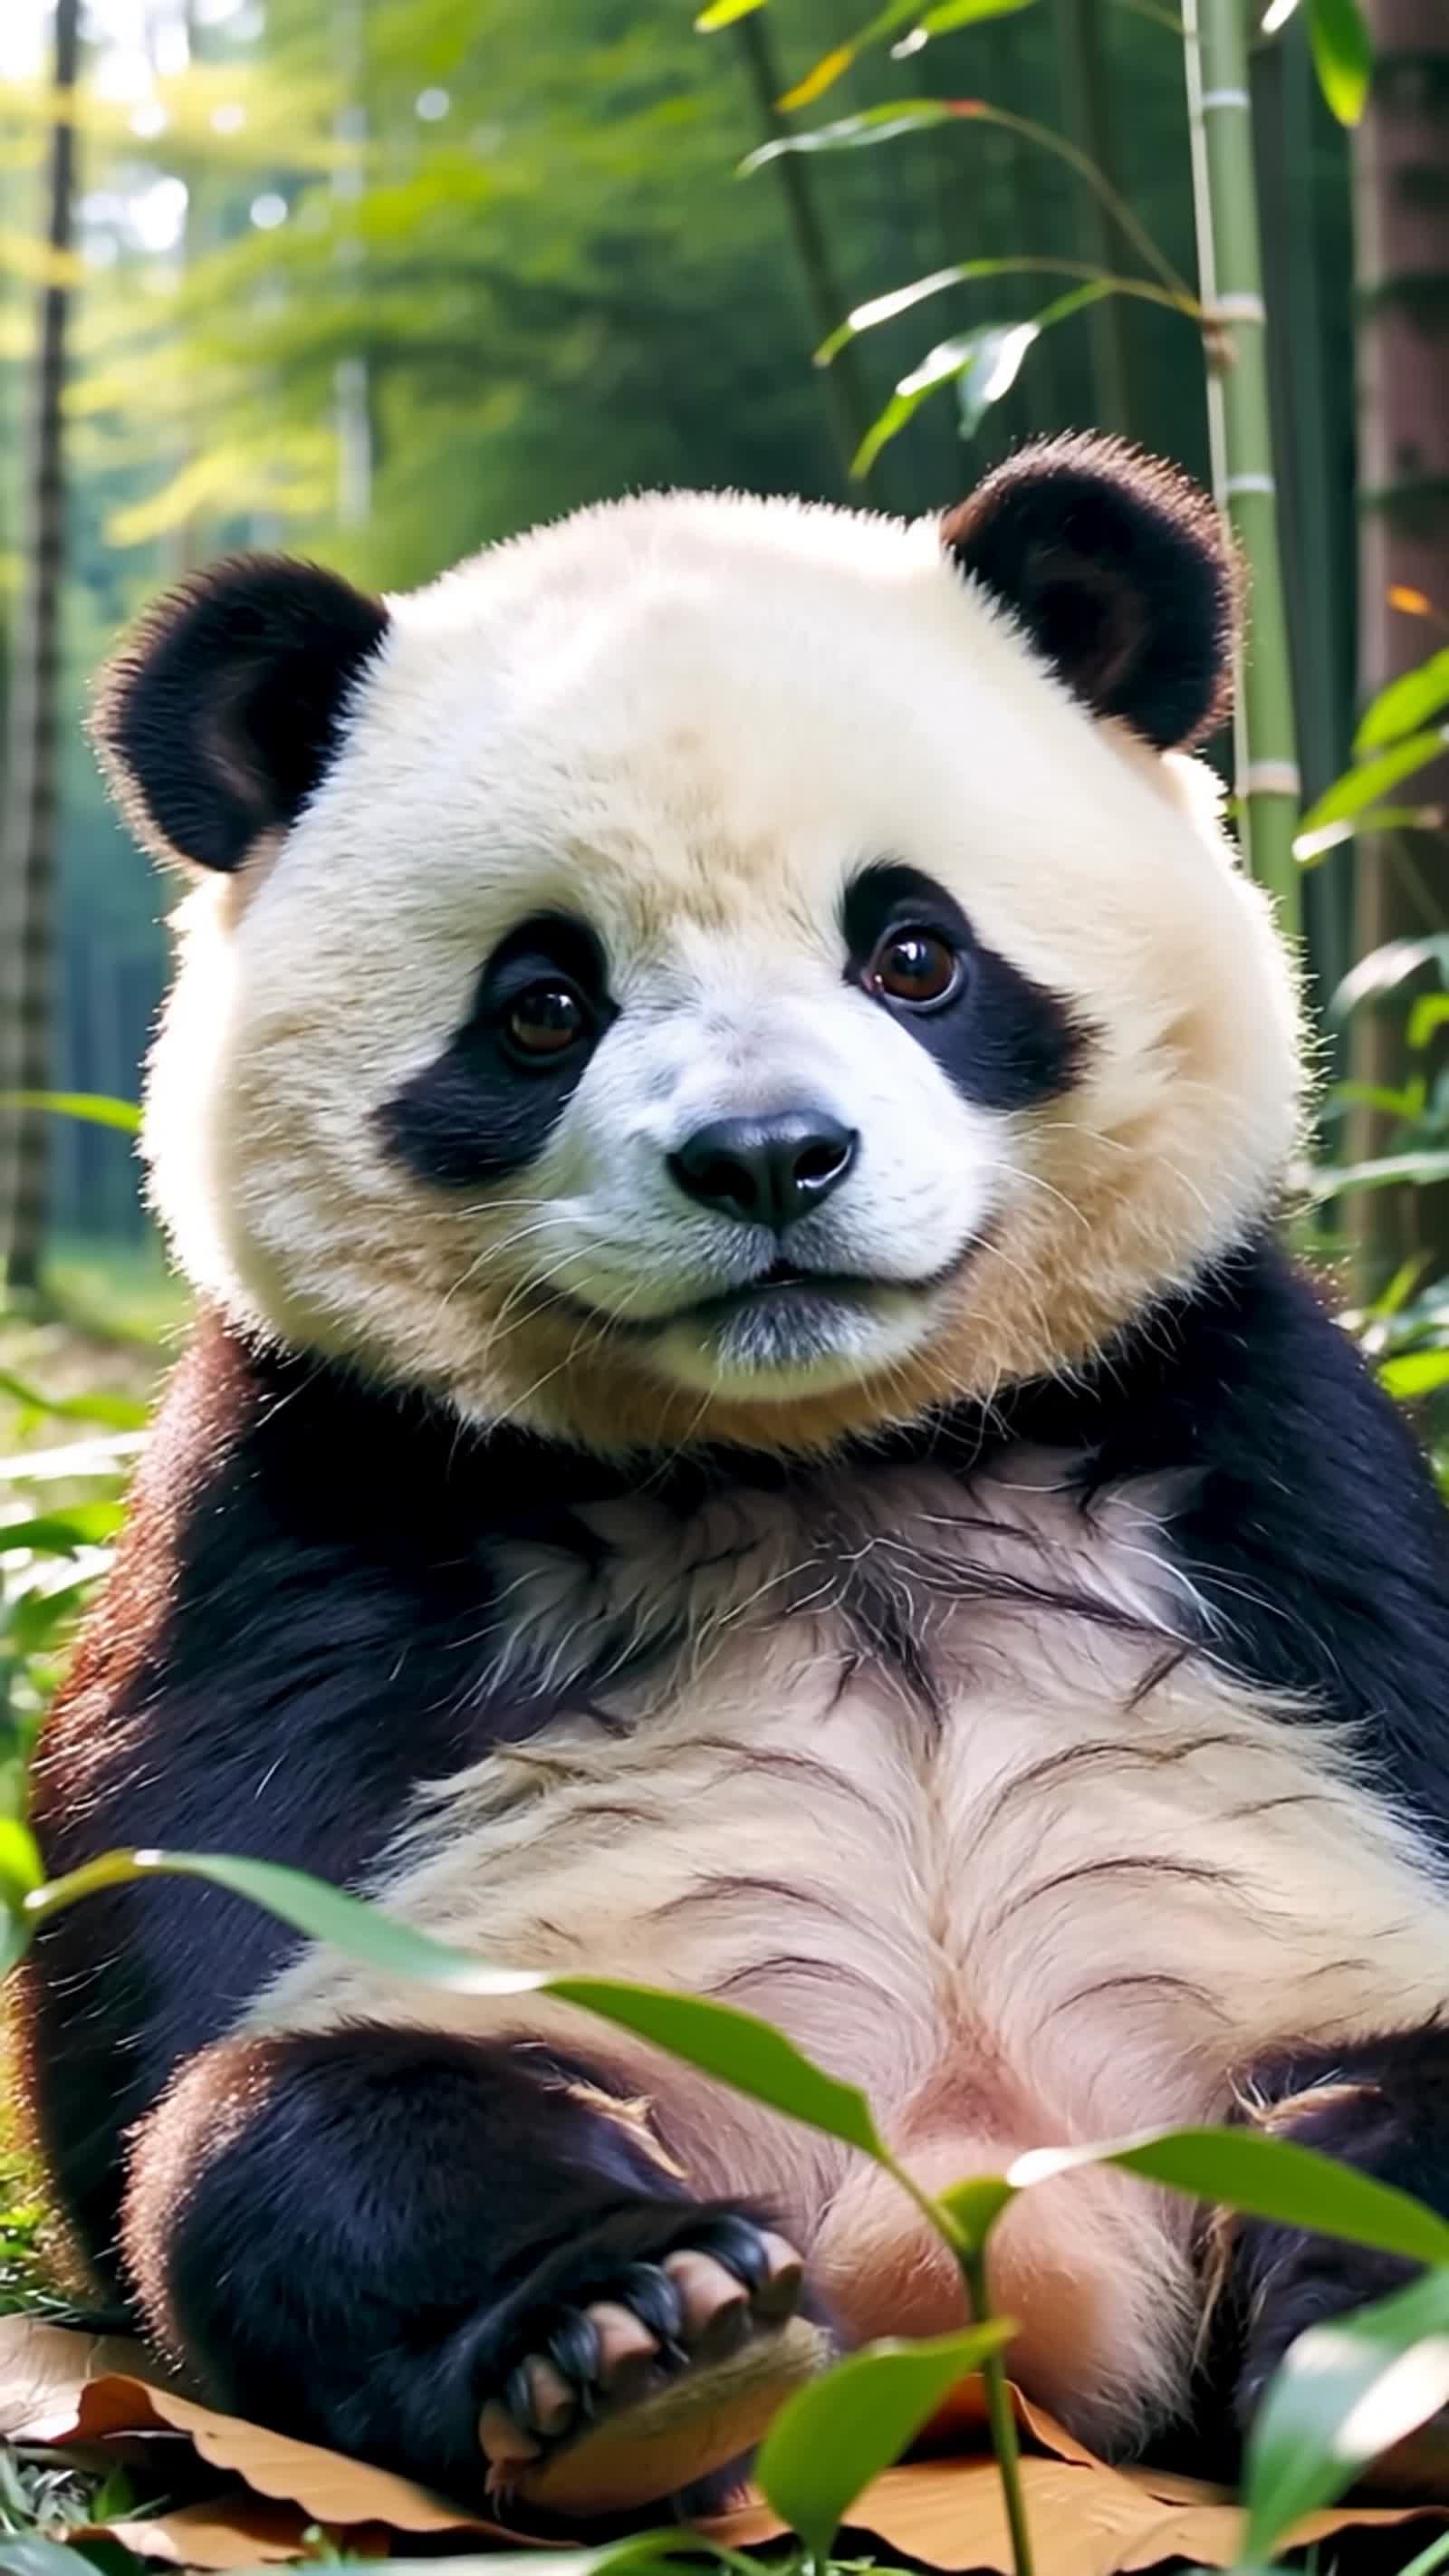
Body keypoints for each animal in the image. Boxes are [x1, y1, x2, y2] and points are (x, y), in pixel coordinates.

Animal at [19, 432, 1449, 2526]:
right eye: (543, 1004)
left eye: (914, 951)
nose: (769, 1157)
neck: (829, 1453)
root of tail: (971, 2280)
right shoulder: (298, 1515)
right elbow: (164, 1974)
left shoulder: (1279, 1472)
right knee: (317, 2124)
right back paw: (637, 2337)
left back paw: (1389, 2351)